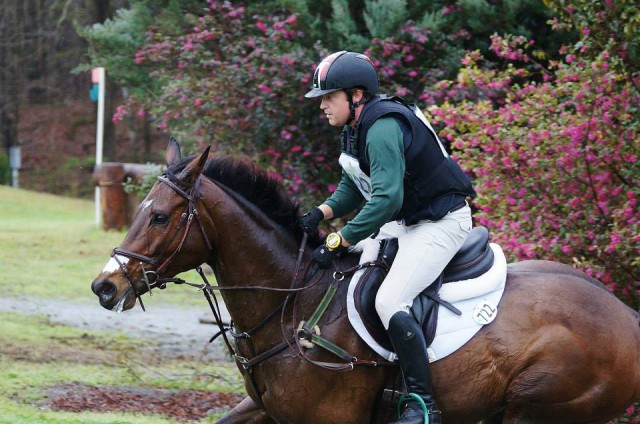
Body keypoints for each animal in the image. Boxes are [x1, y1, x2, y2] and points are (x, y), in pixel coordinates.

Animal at [91, 142, 640, 424]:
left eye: (160, 217)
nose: (105, 287)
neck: (293, 306)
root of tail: (627, 315)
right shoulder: (270, 412)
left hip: (537, 408)